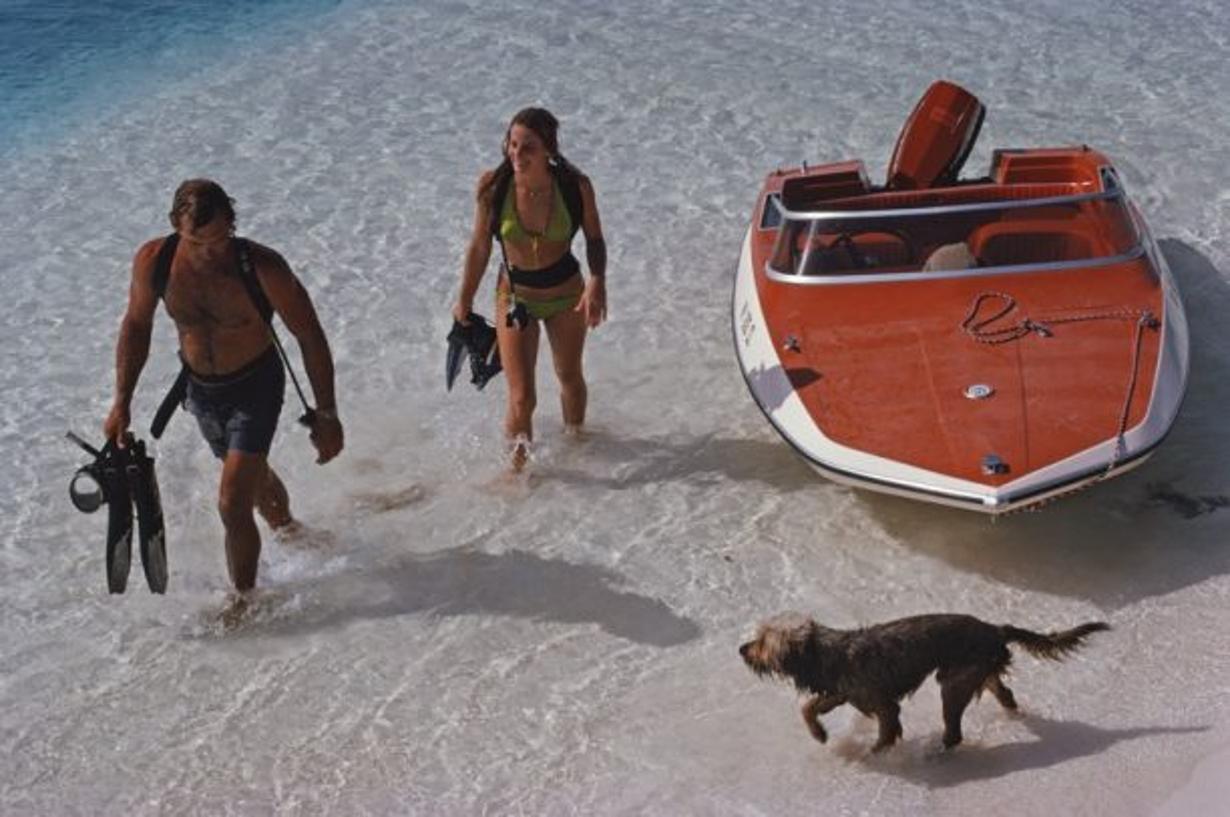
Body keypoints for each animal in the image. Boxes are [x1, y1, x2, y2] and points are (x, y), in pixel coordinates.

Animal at [738, 612, 1116, 753]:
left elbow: (885, 731)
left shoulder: (880, 703)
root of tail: (996, 628)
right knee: (1005, 692)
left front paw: (875, 753)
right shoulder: (844, 692)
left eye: (762, 642)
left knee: (955, 731)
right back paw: (1013, 715)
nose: (741, 649)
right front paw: (819, 733)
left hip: (953, 683)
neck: (825, 651)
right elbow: (808, 706)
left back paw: (938, 752)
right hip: (976, 672)